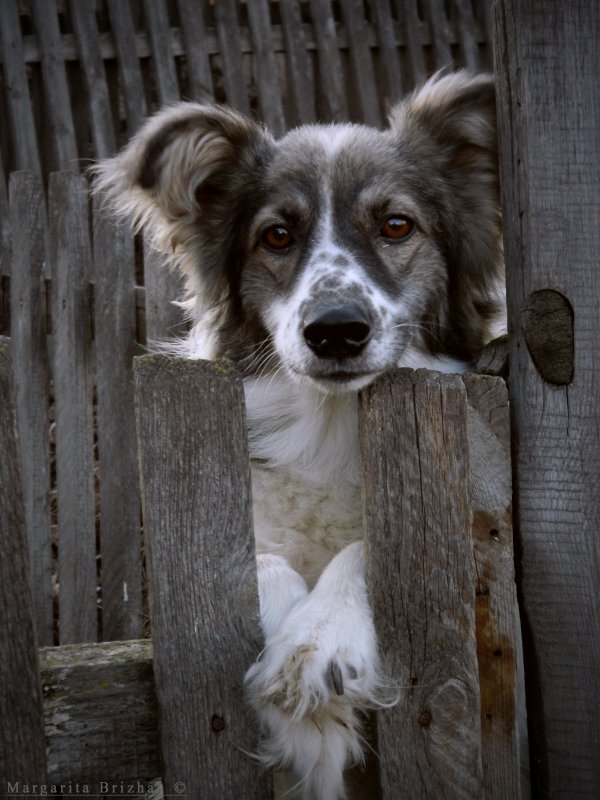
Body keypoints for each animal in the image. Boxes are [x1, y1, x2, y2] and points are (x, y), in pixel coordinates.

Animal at [96, 70, 504, 800]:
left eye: (397, 225)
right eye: (278, 236)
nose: (336, 330)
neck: (329, 422)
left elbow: (369, 549)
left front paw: (319, 642)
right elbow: (255, 563)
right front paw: (297, 689)